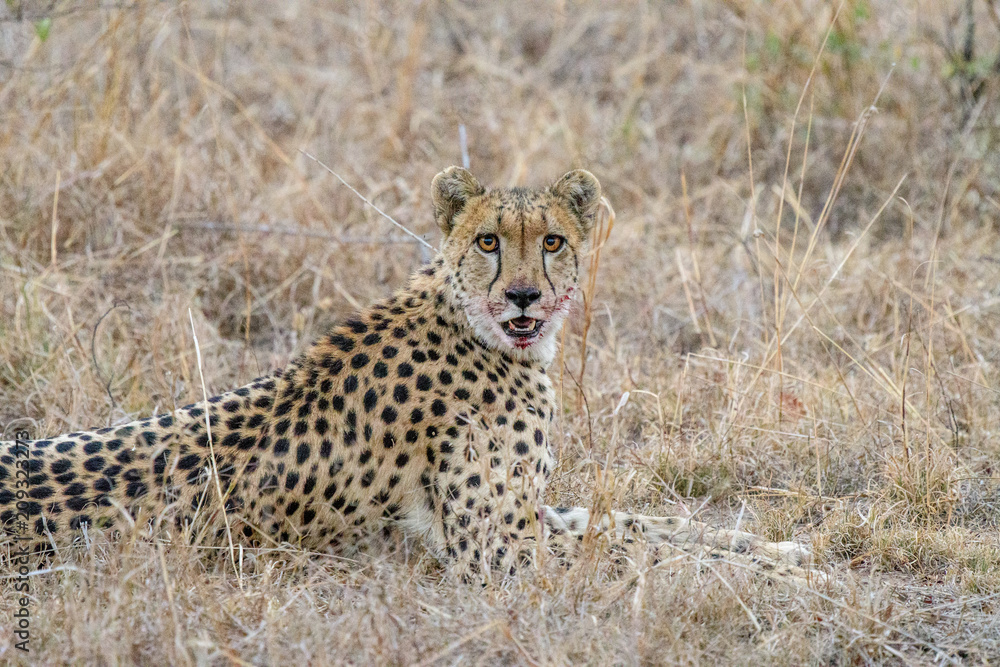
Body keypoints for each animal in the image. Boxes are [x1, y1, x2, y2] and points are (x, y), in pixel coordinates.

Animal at [0, 167, 823, 585]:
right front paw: (785, 576)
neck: (473, 325)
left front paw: (776, 550)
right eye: (489, 241)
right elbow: (638, 551)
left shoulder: (532, 515)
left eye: (553, 241)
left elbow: (639, 523)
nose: (522, 296)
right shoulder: (498, 551)